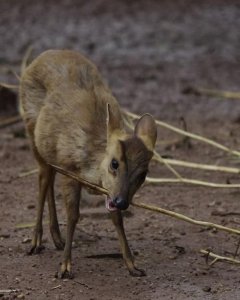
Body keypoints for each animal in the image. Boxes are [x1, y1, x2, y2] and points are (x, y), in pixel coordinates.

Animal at [19, 49, 157, 278]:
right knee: (43, 178)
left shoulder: (110, 191)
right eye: (114, 163)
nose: (122, 201)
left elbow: (117, 219)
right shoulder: (69, 170)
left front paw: (133, 266)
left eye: (143, 174)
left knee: (49, 178)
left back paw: (56, 238)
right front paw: (64, 267)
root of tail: (41, 57)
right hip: (32, 133)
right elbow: (74, 216)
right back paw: (36, 241)